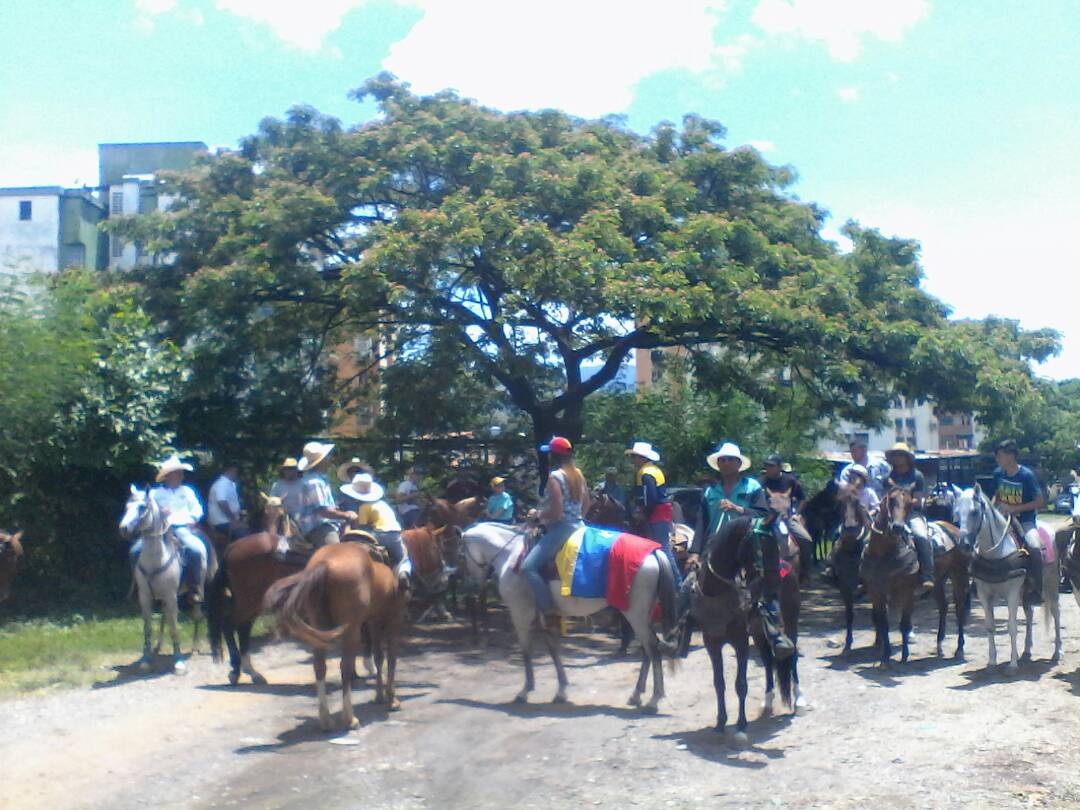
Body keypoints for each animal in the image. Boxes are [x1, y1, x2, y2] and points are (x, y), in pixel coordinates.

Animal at [119, 486, 214, 673]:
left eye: (142, 507)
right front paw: (146, 658)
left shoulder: (171, 597)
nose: (124, 528)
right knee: (165, 616)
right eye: (127, 506)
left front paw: (178, 661)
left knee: (196, 615)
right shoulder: (145, 597)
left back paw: (195, 647)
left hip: (198, 591)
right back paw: (158, 646)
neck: (156, 559)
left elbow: (174, 628)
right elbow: (148, 627)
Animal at [265, 542, 408, 734]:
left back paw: (326, 720)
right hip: (351, 630)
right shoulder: (394, 620)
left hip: (318, 627)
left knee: (319, 666)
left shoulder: (374, 622)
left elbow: (379, 658)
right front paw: (392, 700)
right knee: (345, 667)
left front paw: (379, 696)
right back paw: (350, 719)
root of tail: (324, 564)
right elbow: (391, 659)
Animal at [460, 522, 678, 712]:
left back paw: (654, 700)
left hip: (635, 615)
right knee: (646, 650)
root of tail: (653, 552)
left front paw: (525, 691)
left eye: (461, 553)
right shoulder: (544, 616)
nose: (472, 584)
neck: (512, 556)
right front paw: (561, 690)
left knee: (653, 648)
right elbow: (553, 649)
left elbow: (526, 651)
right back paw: (636, 695)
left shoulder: (520, 613)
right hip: (640, 615)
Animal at [859, 486, 920, 669]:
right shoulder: (877, 592)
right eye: (891, 500)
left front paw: (905, 655)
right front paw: (885, 656)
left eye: (910, 503)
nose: (898, 527)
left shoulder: (907, 591)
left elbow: (904, 624)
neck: (883, 555)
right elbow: (883, 623)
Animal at [959, 488, 1058, 673]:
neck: (996, 554)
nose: (964, 545)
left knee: (1056, 613)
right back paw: (1026, 652)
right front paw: (992, 663)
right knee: (1029, 614)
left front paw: (1012, 665)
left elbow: (1012, 627)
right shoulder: (984, 594)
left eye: (974, 512)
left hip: (1051, 585)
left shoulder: (1012, 593)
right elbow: (990, 626)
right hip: (1026, 592)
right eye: (956, 512)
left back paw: (1057, 652)